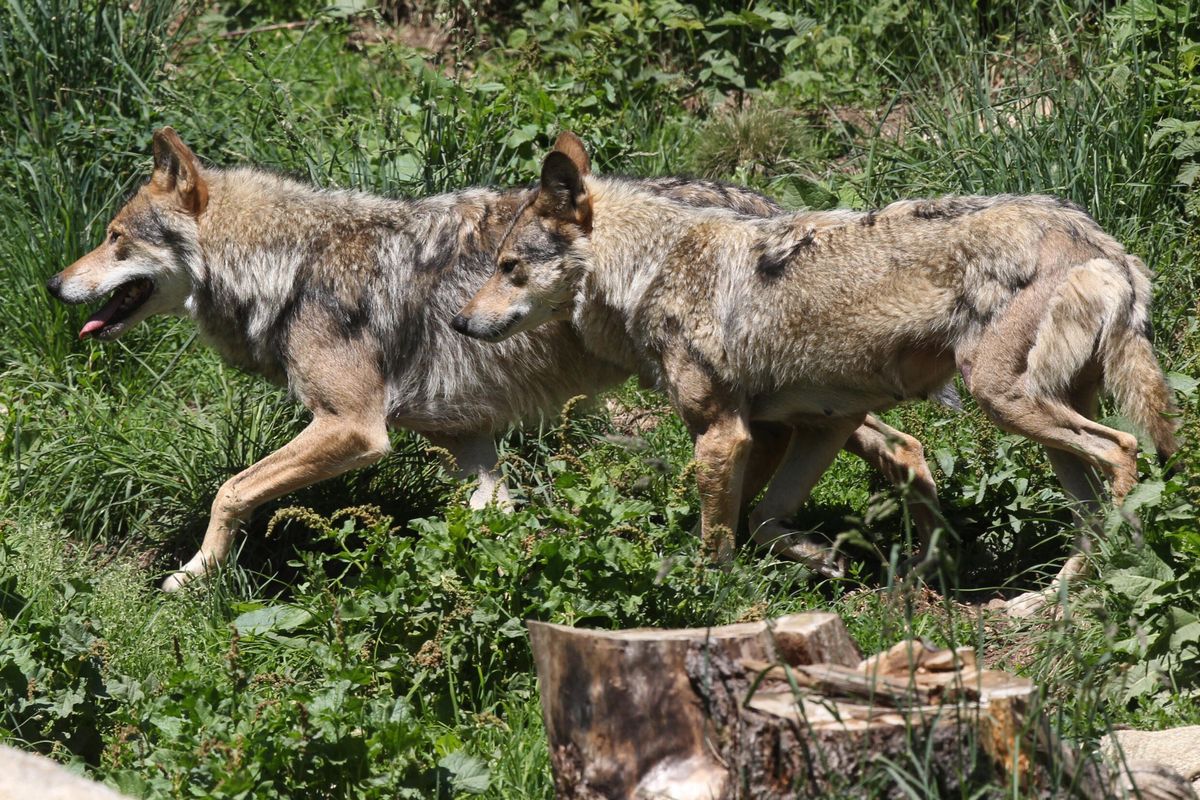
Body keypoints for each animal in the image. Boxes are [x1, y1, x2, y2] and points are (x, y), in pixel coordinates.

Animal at [46, 128, 938, 591]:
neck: (289, 266)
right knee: (902, 448)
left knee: (881, 446)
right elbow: (491, 523)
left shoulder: (353, 429)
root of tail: (766, 204)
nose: (55, 284)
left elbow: (231, 491)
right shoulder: (470, 446)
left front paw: (192, 576)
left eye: (116, 239)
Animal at [454, 133, 1179, 615]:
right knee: (1093, 507)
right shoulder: (811, 426)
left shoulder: (724, 435)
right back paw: (1049, 598)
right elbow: (762, 521)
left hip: (1005, 401)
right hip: (1040, 426)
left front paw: (708, 601)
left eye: (510, 267)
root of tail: (1101, 241)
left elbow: (718, 540)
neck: (651, 270)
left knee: (1125, 450)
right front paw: (826, 559)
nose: (460, 323)